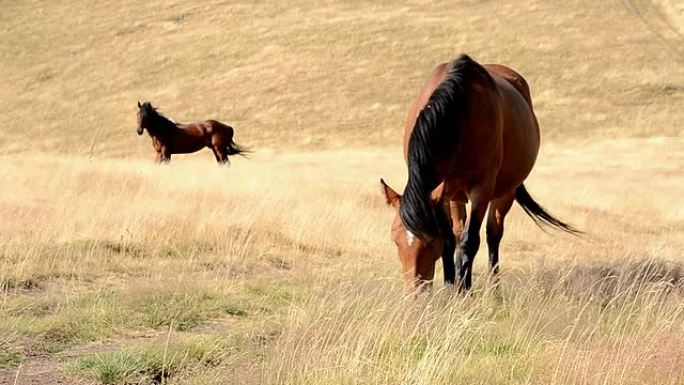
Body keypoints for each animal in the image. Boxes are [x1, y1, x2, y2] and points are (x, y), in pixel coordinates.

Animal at [380, 54, 576, 292]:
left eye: (430, 241)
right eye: (395, 240)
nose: (415, 293)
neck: (459, 118)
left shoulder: (481, 190)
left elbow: (469, 241)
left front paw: (464, 291)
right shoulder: (446, 192)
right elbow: (450, 239)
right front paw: (451, 288)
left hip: (505, 192)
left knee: (493, 234)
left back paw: (494, 289)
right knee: (459, 232)